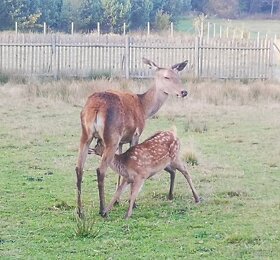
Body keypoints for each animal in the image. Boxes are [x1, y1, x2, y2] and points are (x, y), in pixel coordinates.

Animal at [76, 57, 188, 217]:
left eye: (178, 76)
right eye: (166, 77)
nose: (184, 92)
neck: (144, 108)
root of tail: (96, 107)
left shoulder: (122, 140)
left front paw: (118, 200)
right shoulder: (135, 134)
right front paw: (133, 203)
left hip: (85, 134)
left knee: (79, 168)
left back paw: (80, 211)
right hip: (111, 136)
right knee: (100, 170)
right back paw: (102, 210)